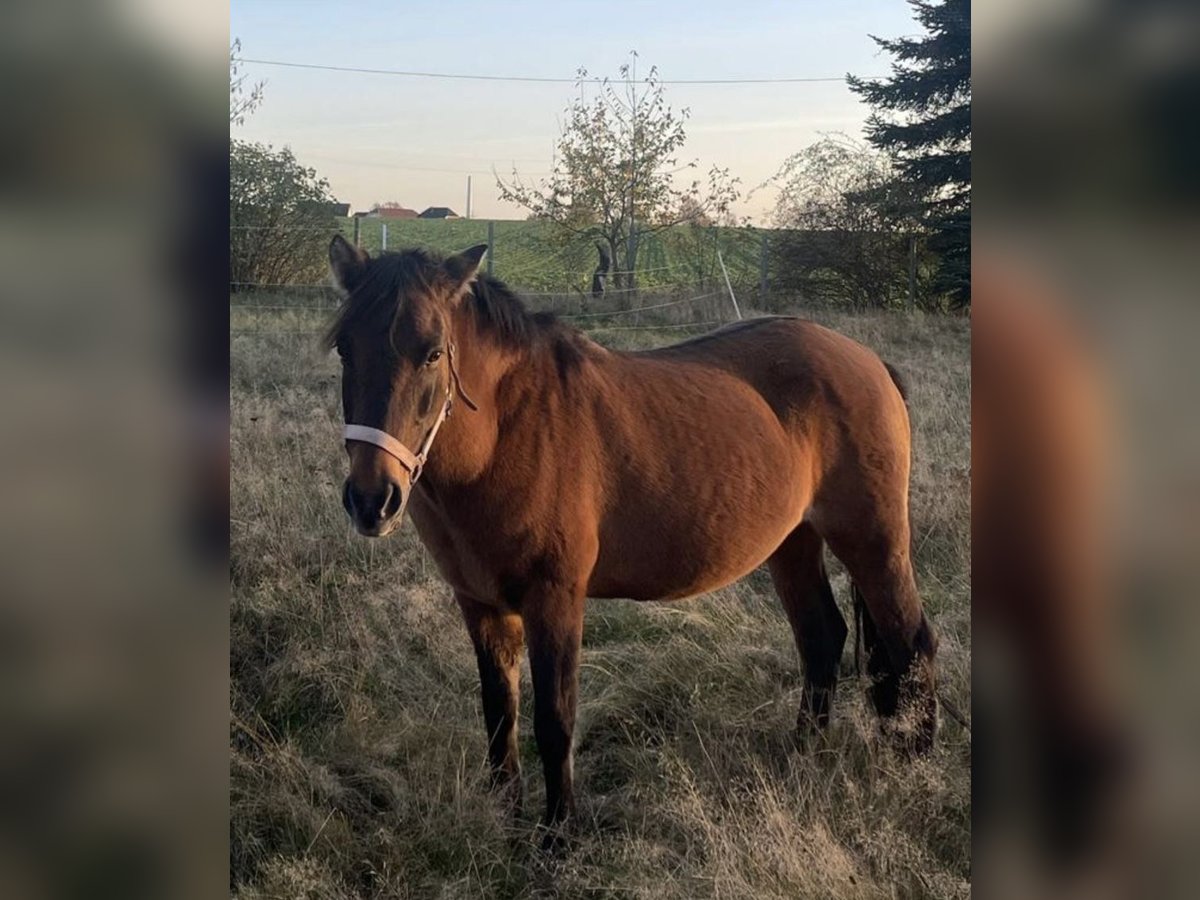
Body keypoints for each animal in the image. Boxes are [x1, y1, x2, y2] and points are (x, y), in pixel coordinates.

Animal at [326, 236, 936, 844]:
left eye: (432, 353)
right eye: (344, 350)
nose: (372, 499)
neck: (506, 434)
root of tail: (870, 363)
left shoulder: (556, 600)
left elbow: (555, 718)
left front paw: (558, 835)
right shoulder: (480, 603)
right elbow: (500, 714)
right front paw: (506, 820)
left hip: (874, 542)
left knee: (912, 644)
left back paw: (915, 768)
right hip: (793, 543)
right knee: (821, 639)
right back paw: (802, 754)